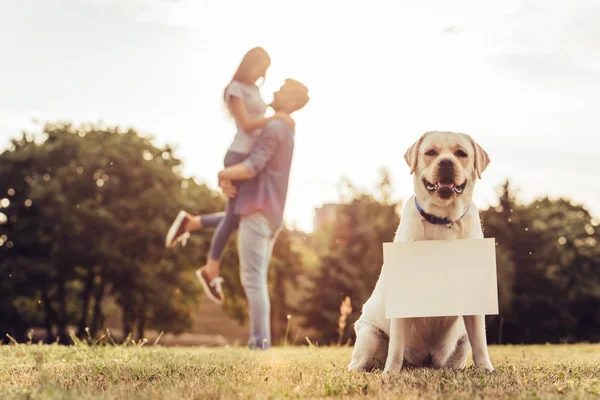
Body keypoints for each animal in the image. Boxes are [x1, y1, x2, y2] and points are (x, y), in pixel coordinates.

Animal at [346, 130, 492, 372]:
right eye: (430, 152)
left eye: (461, 153)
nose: (446, 162)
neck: (442, 221)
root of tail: (420, 363)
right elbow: (396, 347)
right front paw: (390, 373)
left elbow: (480, 342)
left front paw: (486, 370)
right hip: (369, 336)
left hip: (460, 343)